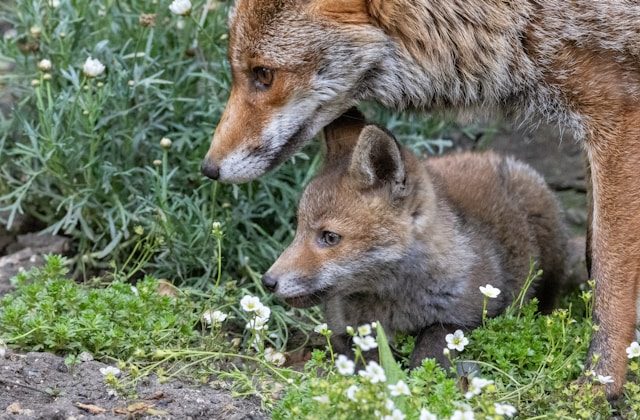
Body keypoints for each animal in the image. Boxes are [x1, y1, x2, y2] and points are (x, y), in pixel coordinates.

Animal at [263, 110, 569, 366]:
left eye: (329, 237)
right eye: (299, 228)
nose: (268, 281)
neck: (397, 303)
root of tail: (488, 154)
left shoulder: (472, 314)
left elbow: (429, 347)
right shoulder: (343, 330)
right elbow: (367, 356)